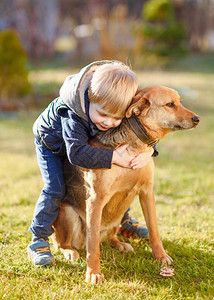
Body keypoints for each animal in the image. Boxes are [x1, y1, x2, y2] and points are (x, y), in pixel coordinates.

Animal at [51, 85, 199, 284]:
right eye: (170, 104)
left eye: (180, 102)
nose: (197, 119)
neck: (136, 144)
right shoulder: (96, 198)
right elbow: (93, 247)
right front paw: (94, 273)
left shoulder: (147, 192)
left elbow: (154, 230)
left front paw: (160, 256)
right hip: (68, 213)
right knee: (67, 243)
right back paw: (69, 251)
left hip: (118, 216)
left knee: (109, 237)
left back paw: (120, 244)